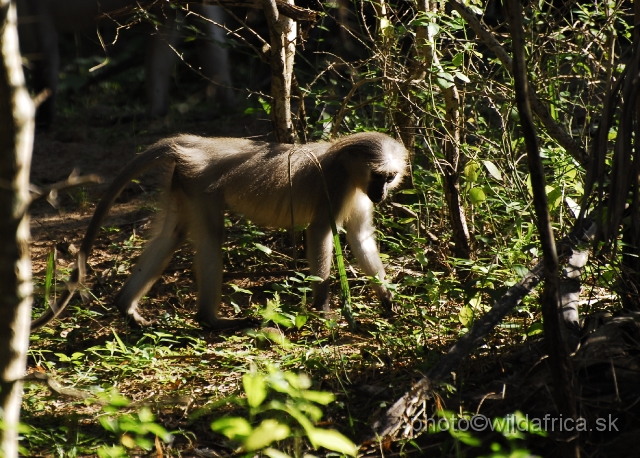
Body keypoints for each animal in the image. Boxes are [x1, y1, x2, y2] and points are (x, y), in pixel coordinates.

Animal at [30, 131, 408, 330]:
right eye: (380, 176)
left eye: (390, 178)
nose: (382, 193)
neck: (350, 168)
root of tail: (196, 143)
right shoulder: (337, 185)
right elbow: (318, 234)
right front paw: (324, 309)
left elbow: (360, 237)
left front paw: (387, 300)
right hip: (200, 183)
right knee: (211, 237)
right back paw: (211, 320)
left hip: (183, 184)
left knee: (172, 235)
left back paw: (126, 307)